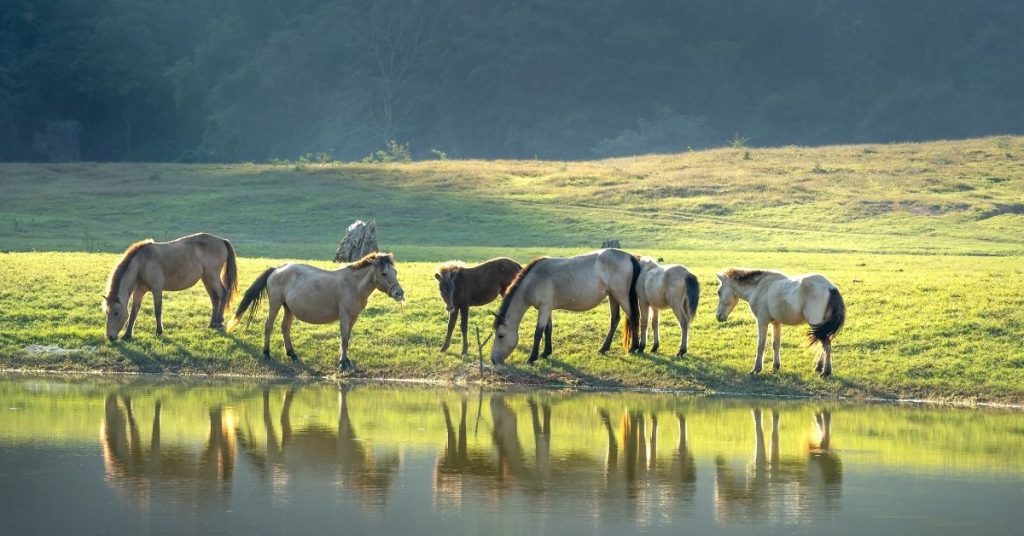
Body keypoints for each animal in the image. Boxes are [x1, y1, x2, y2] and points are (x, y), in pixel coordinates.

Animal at [103, 233, 238, 342]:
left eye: (116, 313)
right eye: (107, 312)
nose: (110, 337)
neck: (141, 263)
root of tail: (221, 240)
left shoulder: (157, 289)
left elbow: (157, 310)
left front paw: (159, 331)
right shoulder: (139, 291)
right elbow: (133, 313)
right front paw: (127, 335)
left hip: (212, 276)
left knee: (223, 294)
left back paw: (219, 321)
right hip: (206, 279)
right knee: (214, 299)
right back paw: (212, 323)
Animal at [229, 252, 404, 371]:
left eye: (395, 272)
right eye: (384, 273)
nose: (399, 293)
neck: (353, 285)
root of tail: (277, 269)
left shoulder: (353, 318)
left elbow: (347, 338)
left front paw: (346, 361)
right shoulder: (345, 317)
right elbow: (343, 339)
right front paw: (342, 363)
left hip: (288, 308)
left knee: (285, 328)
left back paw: (292, 354)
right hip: (275, 304)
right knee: (269, 326)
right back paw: (266, 353)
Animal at [490, 248, 641, 364]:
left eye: (501, 335)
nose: (493, 360)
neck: (533, 280)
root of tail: (628, 256)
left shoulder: (544, 308)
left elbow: (538, 332)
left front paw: (532, 358)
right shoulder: (547, 308)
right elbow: (548, 330)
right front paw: (545, 353)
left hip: (621, 296)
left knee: (633, 318)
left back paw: (634, 348)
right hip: (612, 297)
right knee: (614, 320)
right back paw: (604, 348)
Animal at [715, 269, 845, 376]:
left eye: (719, 292)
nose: (718, 317)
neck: (759, 287)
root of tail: (831, 287)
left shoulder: (762, 321)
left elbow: (761, 345)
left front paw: (756, 369)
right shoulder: (776, 323)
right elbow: (776, 344)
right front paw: (776, 366)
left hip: (816, 324)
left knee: (826, 345)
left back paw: (826, 371)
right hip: (822, 326)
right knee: (825, 344)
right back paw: (819, 367)